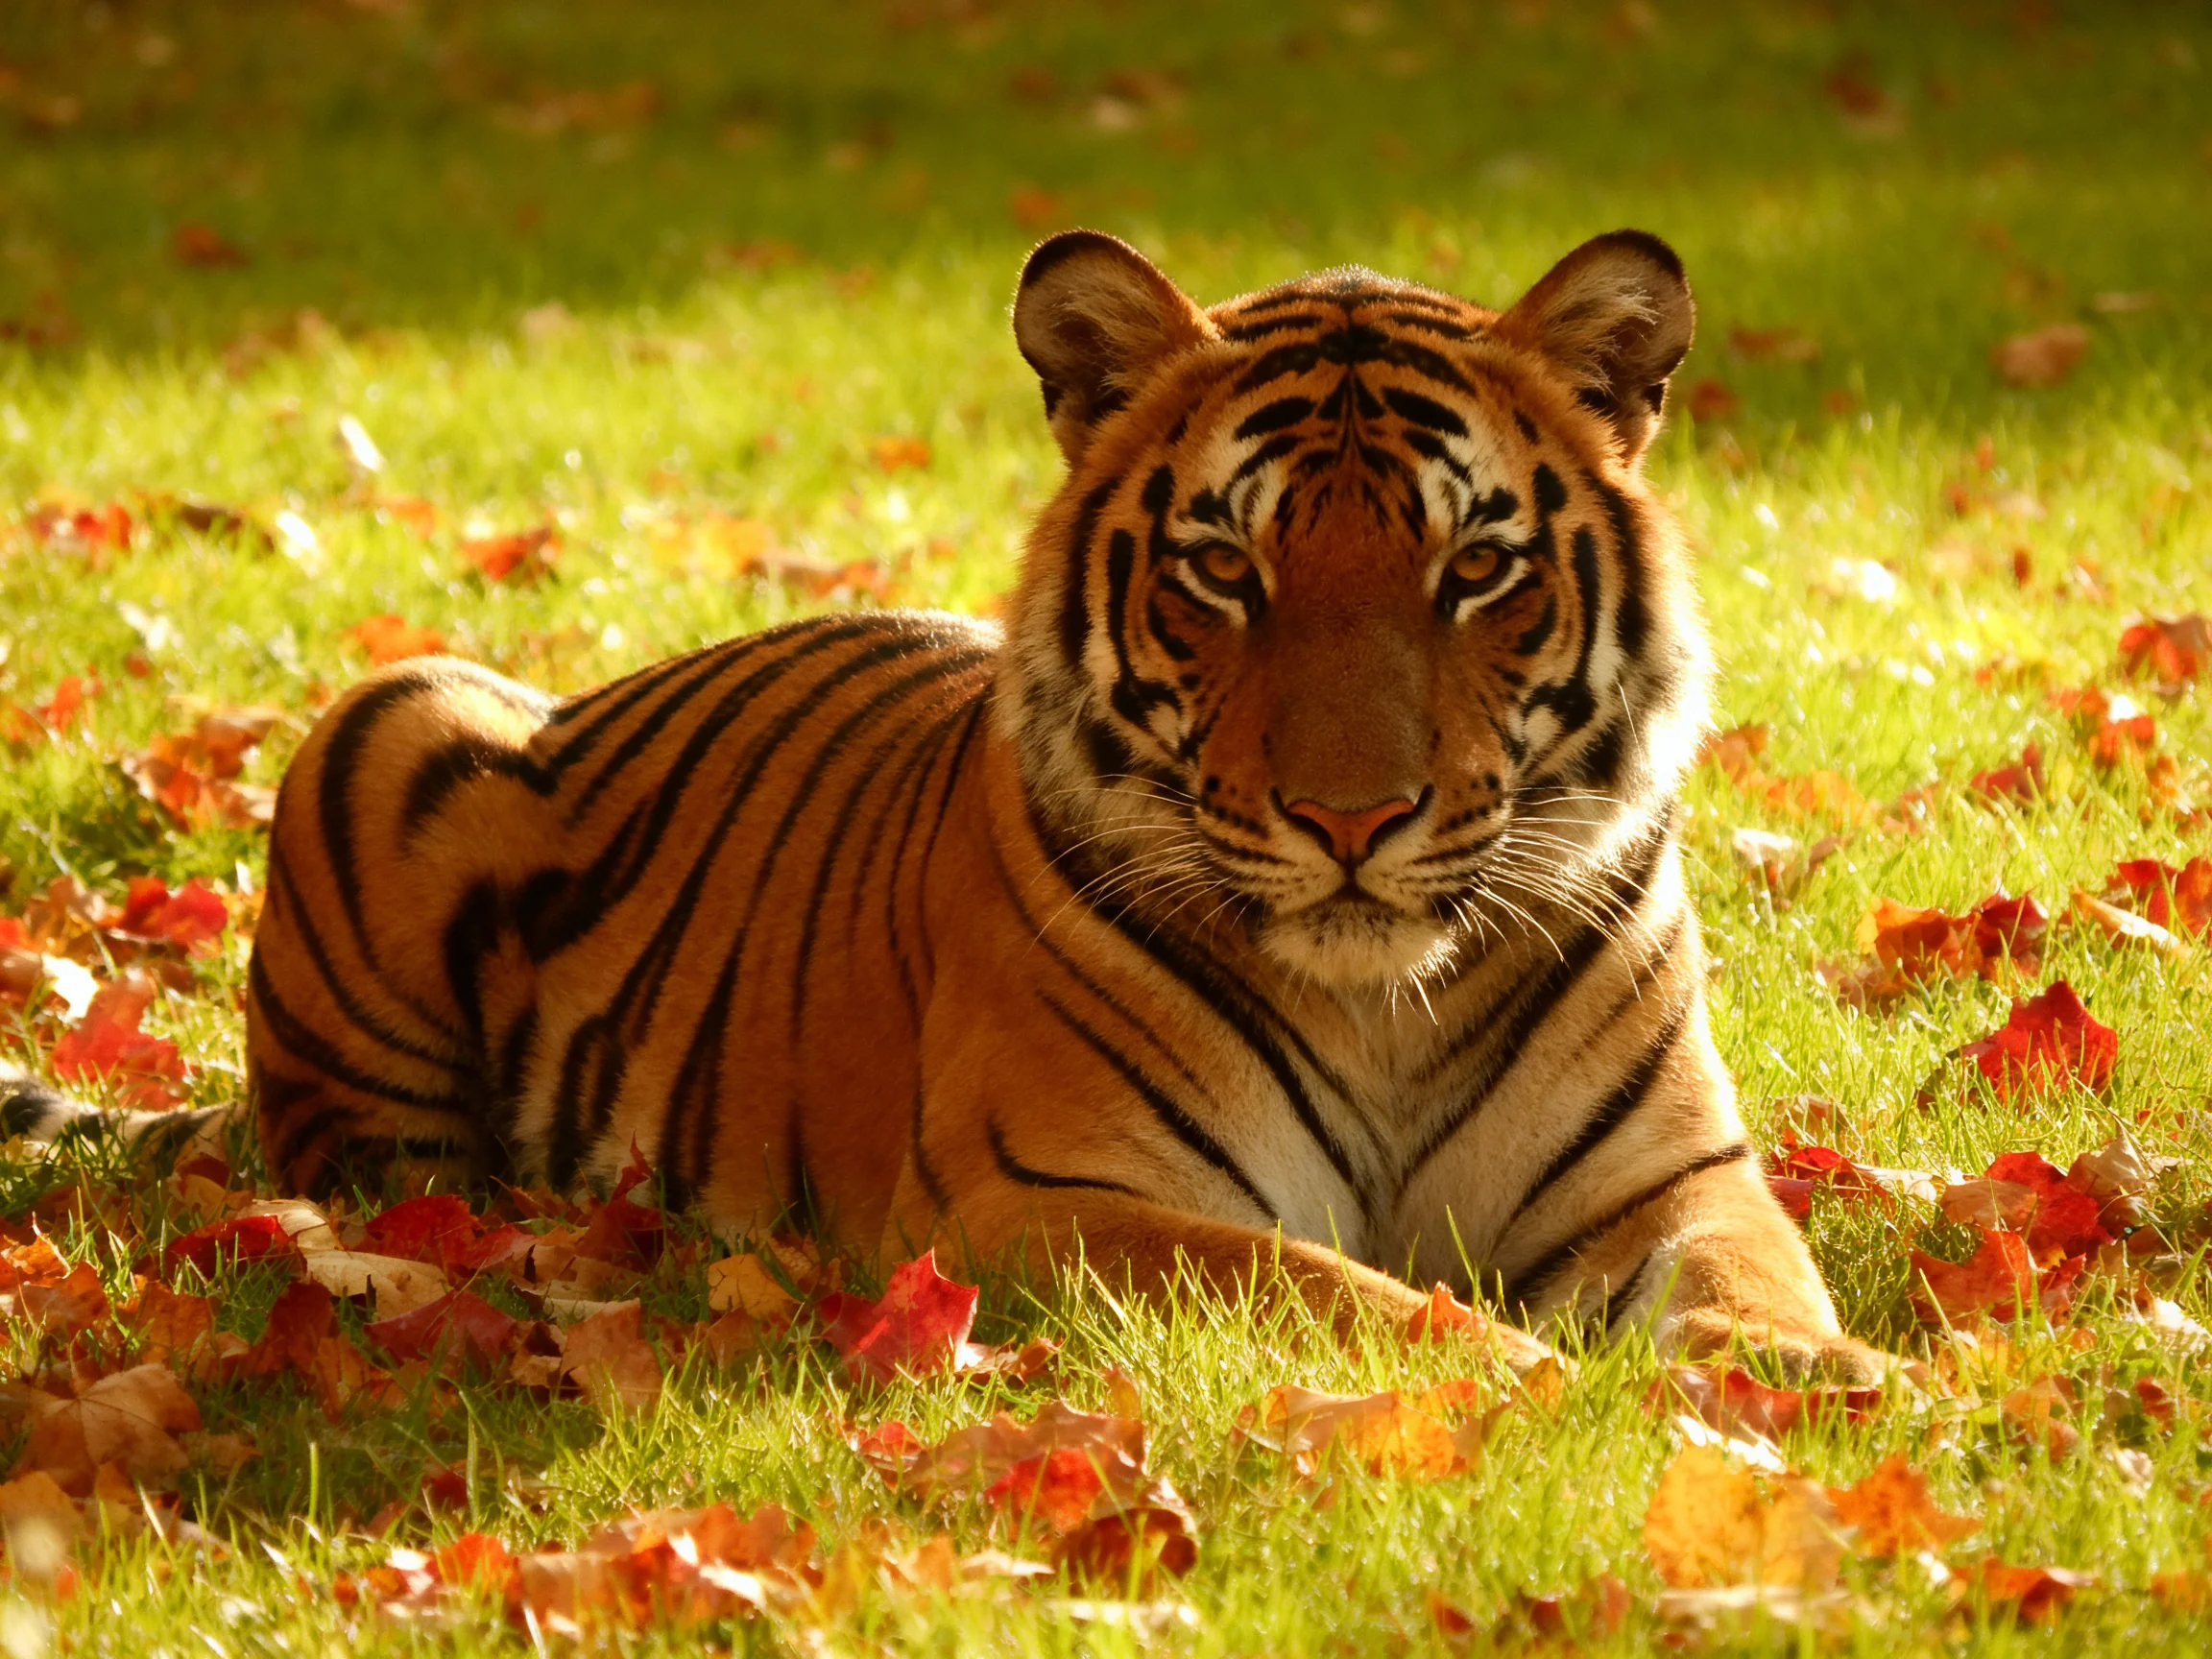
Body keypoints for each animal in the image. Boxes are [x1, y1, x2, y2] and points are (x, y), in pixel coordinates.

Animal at [2, 229, 1880, 1378]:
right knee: (382, 1179)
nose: (1353, 821)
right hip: (398, 713)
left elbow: (1753, 1286)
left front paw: (1827, 1383)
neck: (1382, 1007)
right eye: (1225, 570)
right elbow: (1334, 1292)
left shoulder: (1670, 1176)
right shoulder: (1053, 1200)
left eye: (1472, 567)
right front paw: (1521, 1372)